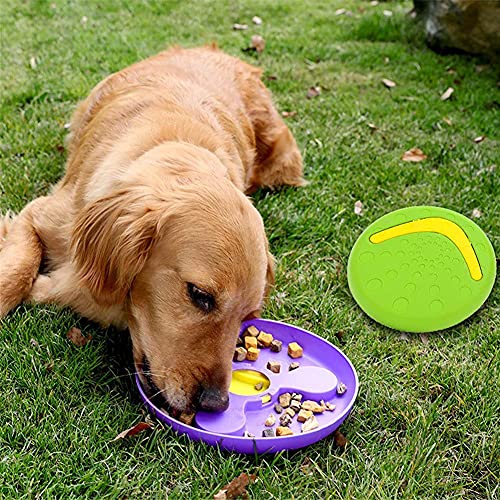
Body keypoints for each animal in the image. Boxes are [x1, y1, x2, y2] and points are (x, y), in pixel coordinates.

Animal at [0, 46, 304, 414]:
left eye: (249, 316)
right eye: (199, 295)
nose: (215, 403)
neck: (176, 144)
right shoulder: (42, 213)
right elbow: (18, 271)